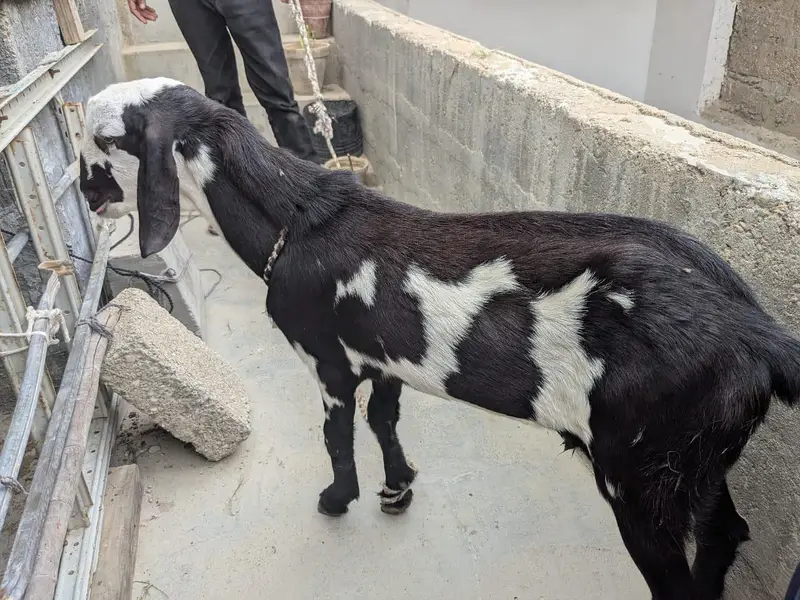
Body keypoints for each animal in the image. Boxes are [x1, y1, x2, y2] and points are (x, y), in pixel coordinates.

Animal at [79, 78, 800, 600]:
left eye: (100, 137)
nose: (86, 196)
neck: (299, 219)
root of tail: (756, 332)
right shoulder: (383, 359)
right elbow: (384, 421)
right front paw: (397, 490)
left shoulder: (326, 361)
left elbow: (338, 436)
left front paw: (338, 500)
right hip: (701, 460)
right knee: (727, 534)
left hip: (640, 475)